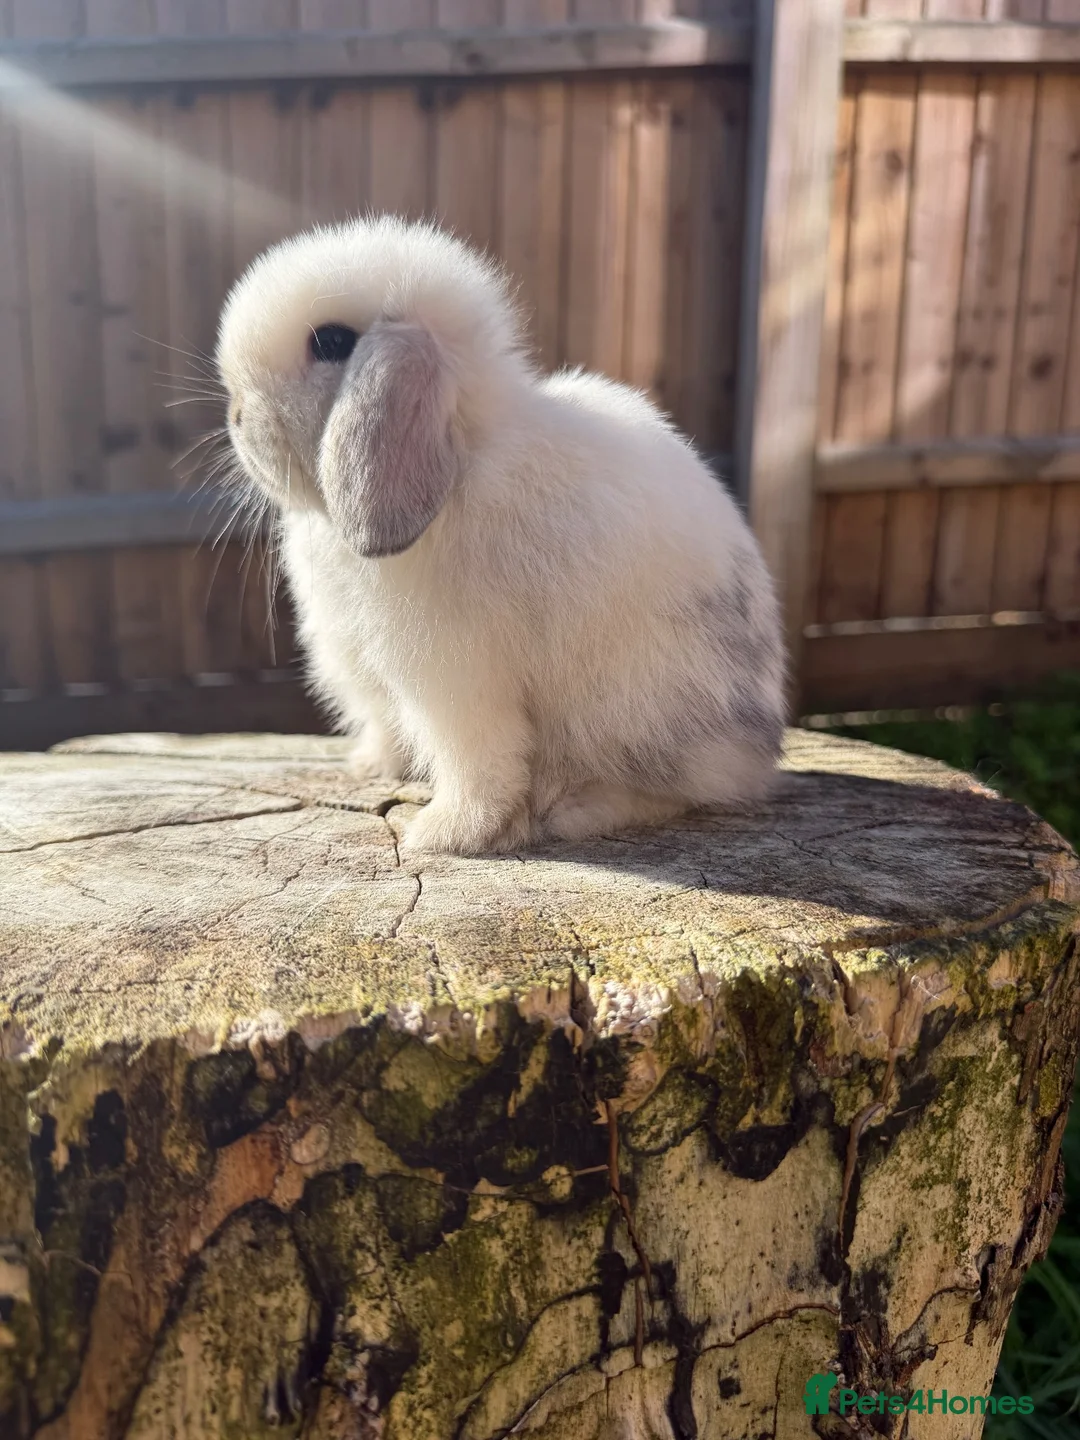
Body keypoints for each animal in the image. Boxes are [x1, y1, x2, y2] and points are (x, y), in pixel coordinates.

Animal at [215, 214, 787, 857]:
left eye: (332, 343)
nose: (237, 417)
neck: (465, 452)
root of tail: (755, 756)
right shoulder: (372, 671)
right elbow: (389, 726)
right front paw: (374, 768)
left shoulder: (455, 678)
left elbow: (479, 764)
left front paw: (445, 835)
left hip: (631, 710)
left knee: (674, 791)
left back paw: (576, 809)